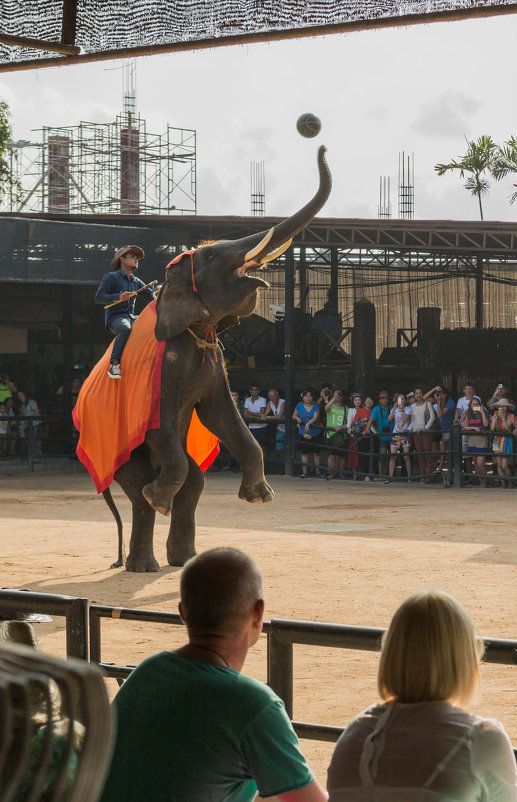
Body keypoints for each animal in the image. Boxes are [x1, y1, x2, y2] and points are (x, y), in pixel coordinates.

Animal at [103, 144, 332, 568]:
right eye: (209, 258)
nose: (321, 143)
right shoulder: (163, 370)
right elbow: (160, 421)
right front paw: (157, 498)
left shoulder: (213, 363)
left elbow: (221, 416)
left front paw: (260, 498)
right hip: (119, 449)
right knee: (143, 489)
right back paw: (149, 537)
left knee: (194, 483)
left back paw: (183, 561)